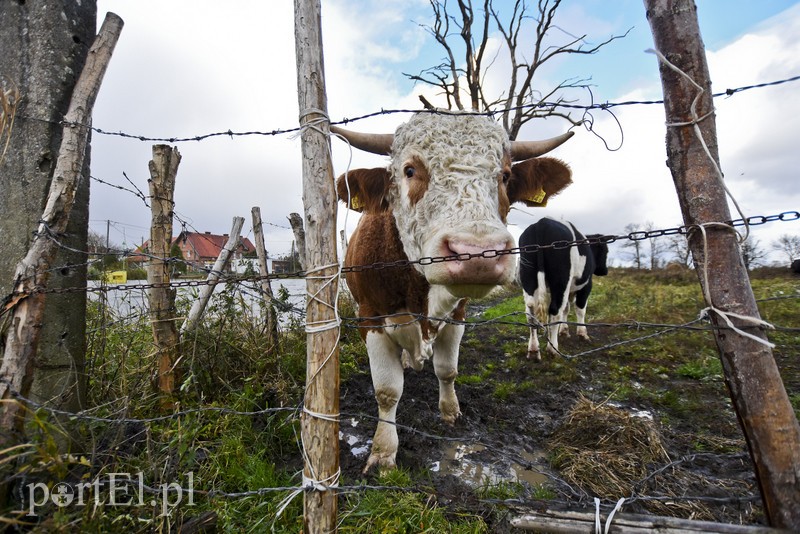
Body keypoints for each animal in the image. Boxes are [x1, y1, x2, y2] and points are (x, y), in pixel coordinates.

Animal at [332, 113, 576, 474]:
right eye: (409, 170)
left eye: (505, 175)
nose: (478, 253)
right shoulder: (370, 317)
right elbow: (387, 391)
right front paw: (383, 452)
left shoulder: (458, 312)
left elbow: (448, 370)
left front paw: (450, 412)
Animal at [516, 217, 608, 360]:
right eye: (605, 251)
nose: (605, 270)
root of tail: (542, 222)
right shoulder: (586, 285)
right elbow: (580, 309)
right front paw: (582, 334)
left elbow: (566, 309)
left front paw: (564, 331)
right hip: (561, 279)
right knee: (555, 311)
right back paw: (553, 349)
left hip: (528, 276)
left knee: (531, 312)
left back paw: (533, 350)